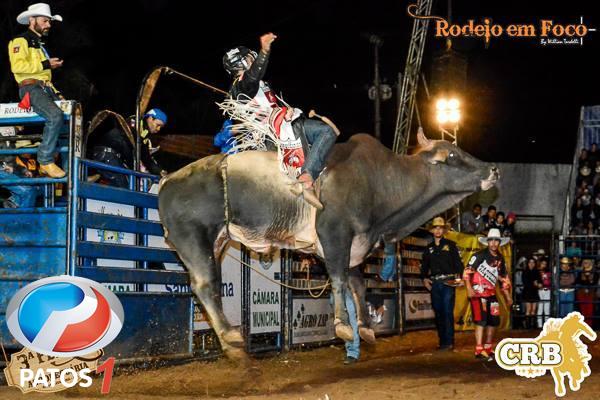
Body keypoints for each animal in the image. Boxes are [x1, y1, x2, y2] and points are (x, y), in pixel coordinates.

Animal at [157, 130, 500, 356]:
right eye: (452, 156)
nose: (493, 169)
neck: (380, 181)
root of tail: (167, 180)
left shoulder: (349, 246)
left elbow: (357, 283)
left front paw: (365, 327)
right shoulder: (334, 235)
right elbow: (338, 280)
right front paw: (344, 326)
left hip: (212, 242)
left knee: (202, 286)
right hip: (195, 238)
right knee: (206, 284)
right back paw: (231, 336)